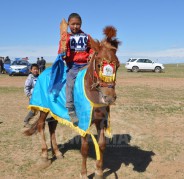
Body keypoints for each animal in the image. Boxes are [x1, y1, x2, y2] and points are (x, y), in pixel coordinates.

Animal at [23, 25, 121, 178]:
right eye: (99, 65)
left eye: (117, 65)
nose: (109, 97)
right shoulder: (83, 124)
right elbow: (84, 148)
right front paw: (84, 173)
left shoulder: (101, 121)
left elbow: (101, 145)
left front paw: (99, 172)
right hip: (43, 109)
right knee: (40, 126)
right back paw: (45, 156)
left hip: (56, 110)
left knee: (52, 126)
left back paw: (57, 153)